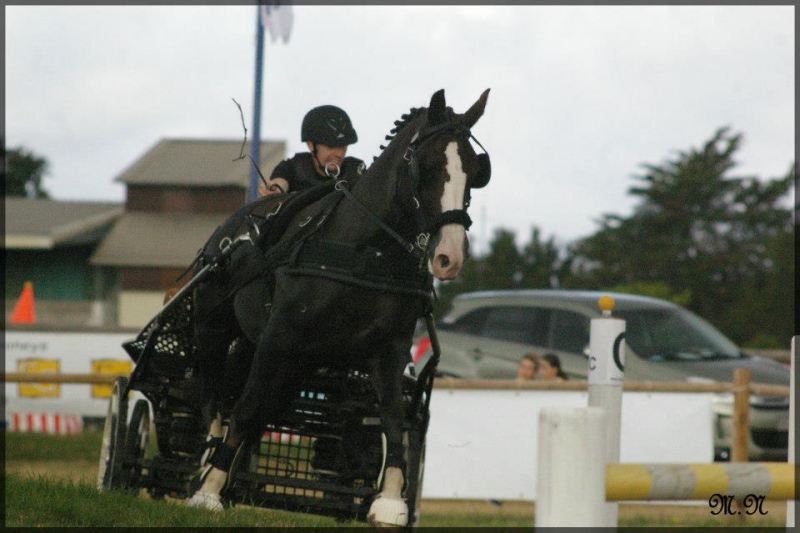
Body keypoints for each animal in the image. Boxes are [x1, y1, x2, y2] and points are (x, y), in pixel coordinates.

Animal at [188, 88, 490, 524]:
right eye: (429, 165)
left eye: (475, 169)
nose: (449, 257)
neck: (363, 251)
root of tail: (232, 229)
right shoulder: (279, 338)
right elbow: (244, 408)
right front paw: (208, 491)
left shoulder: (389, 351)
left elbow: (394, 419)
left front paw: (390, 501)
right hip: (216, 329)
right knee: (216, 397)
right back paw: (208, 465)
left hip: (282, 357)